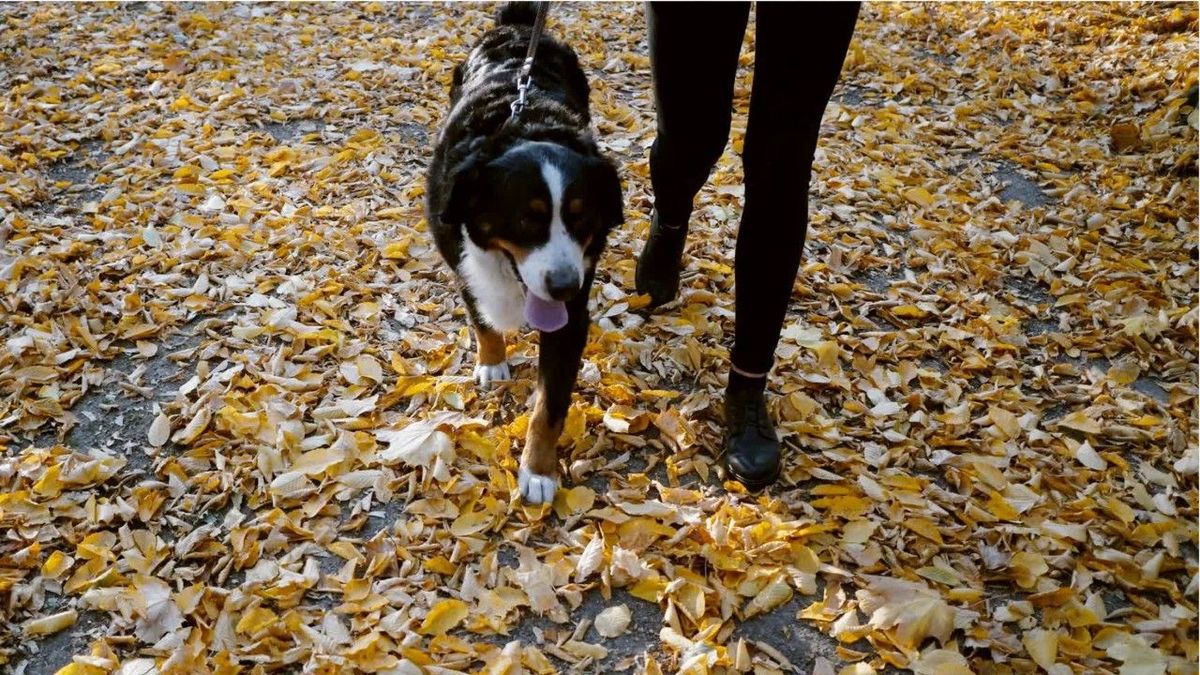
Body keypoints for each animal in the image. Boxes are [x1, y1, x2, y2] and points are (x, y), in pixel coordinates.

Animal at [427, 2, 624, 502]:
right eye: (526, 220)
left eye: (581, 218)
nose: (565, 286)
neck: (521, 127)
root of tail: (518, 28)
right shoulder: (459, 260)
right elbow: (481, 318)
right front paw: (492, 361)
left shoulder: (572, 316)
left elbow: (549, 408)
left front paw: (538, 471)